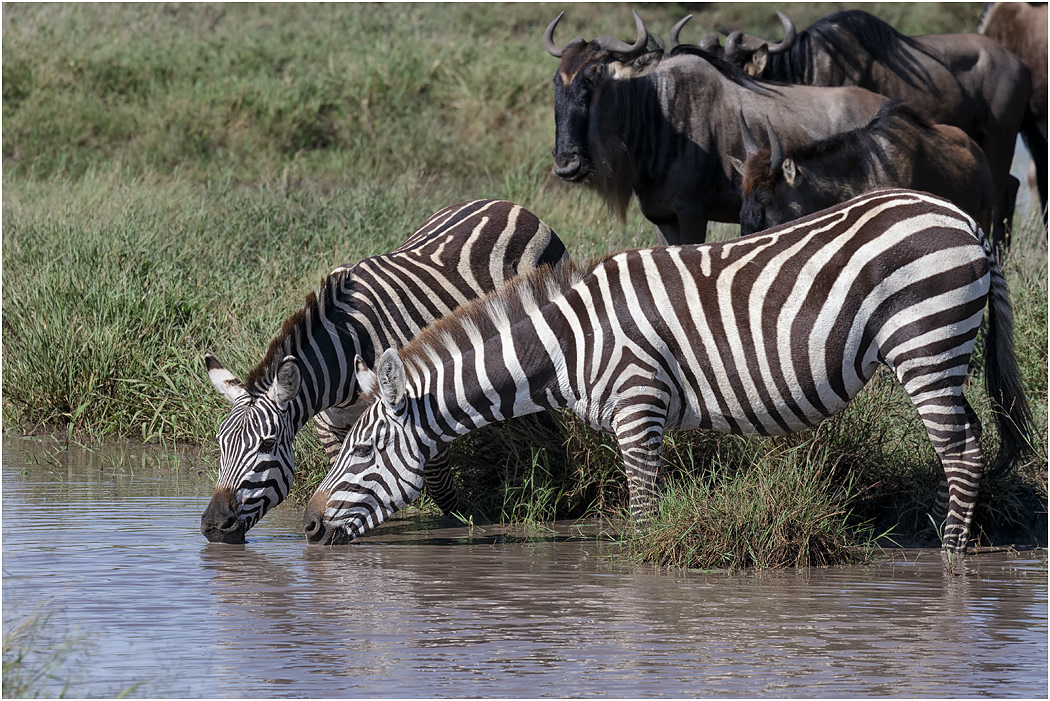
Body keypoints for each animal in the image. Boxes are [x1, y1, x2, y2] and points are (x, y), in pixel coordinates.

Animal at [200, 199, 569, 543]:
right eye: (220, 443)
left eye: (267, 444)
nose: (214, 527)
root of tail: (505, 204)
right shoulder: (330, 426)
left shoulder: (423, 407)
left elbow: (439, 485)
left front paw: (460, 525)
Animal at [302, 189, 1033, 568]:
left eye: (361, 452)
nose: (305, 527)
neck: (569, 345)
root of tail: (964, 219)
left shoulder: (638, 406)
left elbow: (644, 516)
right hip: (941, 348)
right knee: (971, 442)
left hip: (924, 338)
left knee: (961, 451)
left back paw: (949, 558)